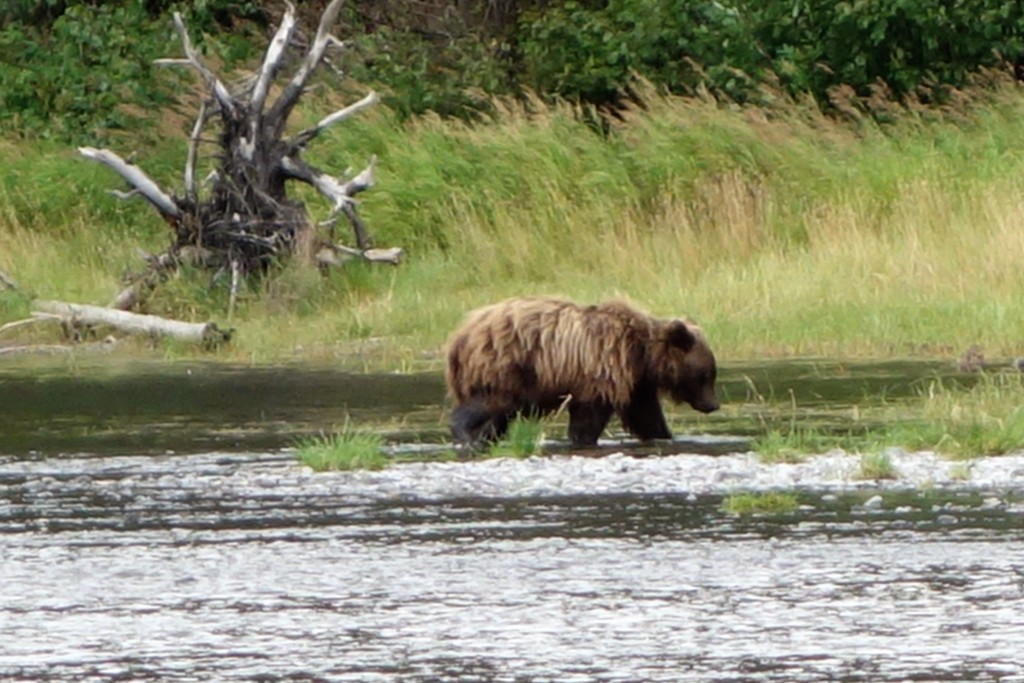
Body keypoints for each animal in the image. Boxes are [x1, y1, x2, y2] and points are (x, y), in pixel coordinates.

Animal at [442, 296, 720, 448]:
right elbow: (589, 417)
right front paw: (584, 439)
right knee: (490, 403)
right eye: (705, 374)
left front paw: (666, 436)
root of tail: (459, 337)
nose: (713, 404)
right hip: (505, 367)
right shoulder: (602, 370)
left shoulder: (637, 382)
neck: (642, 354)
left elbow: (646, 417)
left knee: (498, 417)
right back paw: (465, 434)